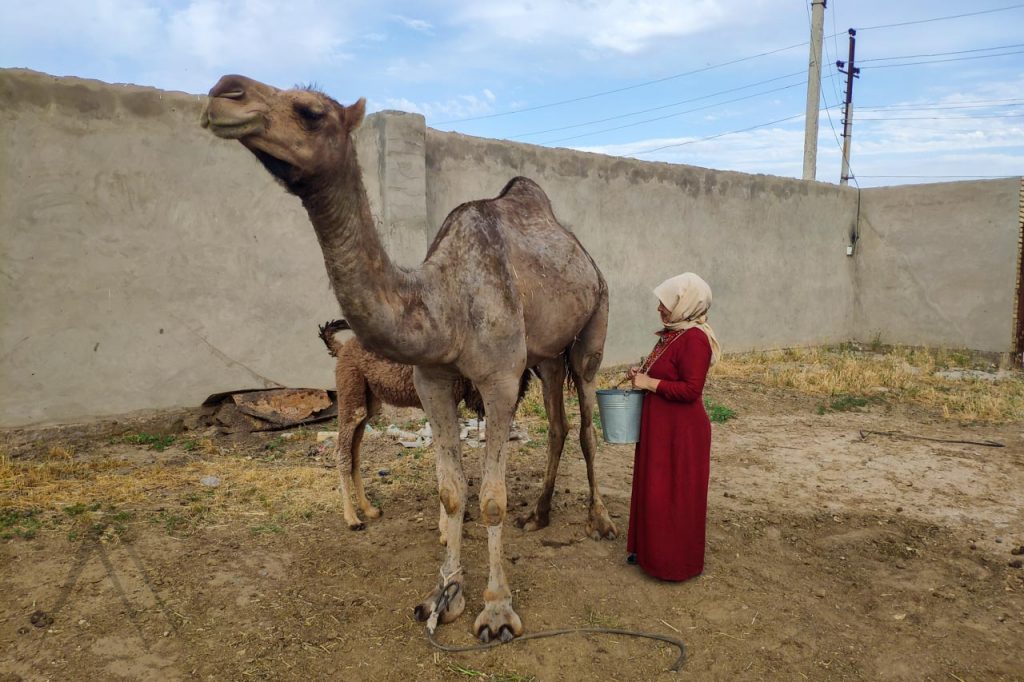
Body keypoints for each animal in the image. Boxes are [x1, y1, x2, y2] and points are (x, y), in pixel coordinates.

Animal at [317, 319, 528, 536]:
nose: (516, 398)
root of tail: (342, 349)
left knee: (355, 454)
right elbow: (443, 466)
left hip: (369, 401)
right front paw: (445, 530)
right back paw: (352, 519)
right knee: (342, 454)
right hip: (350, 395)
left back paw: (370, 509)